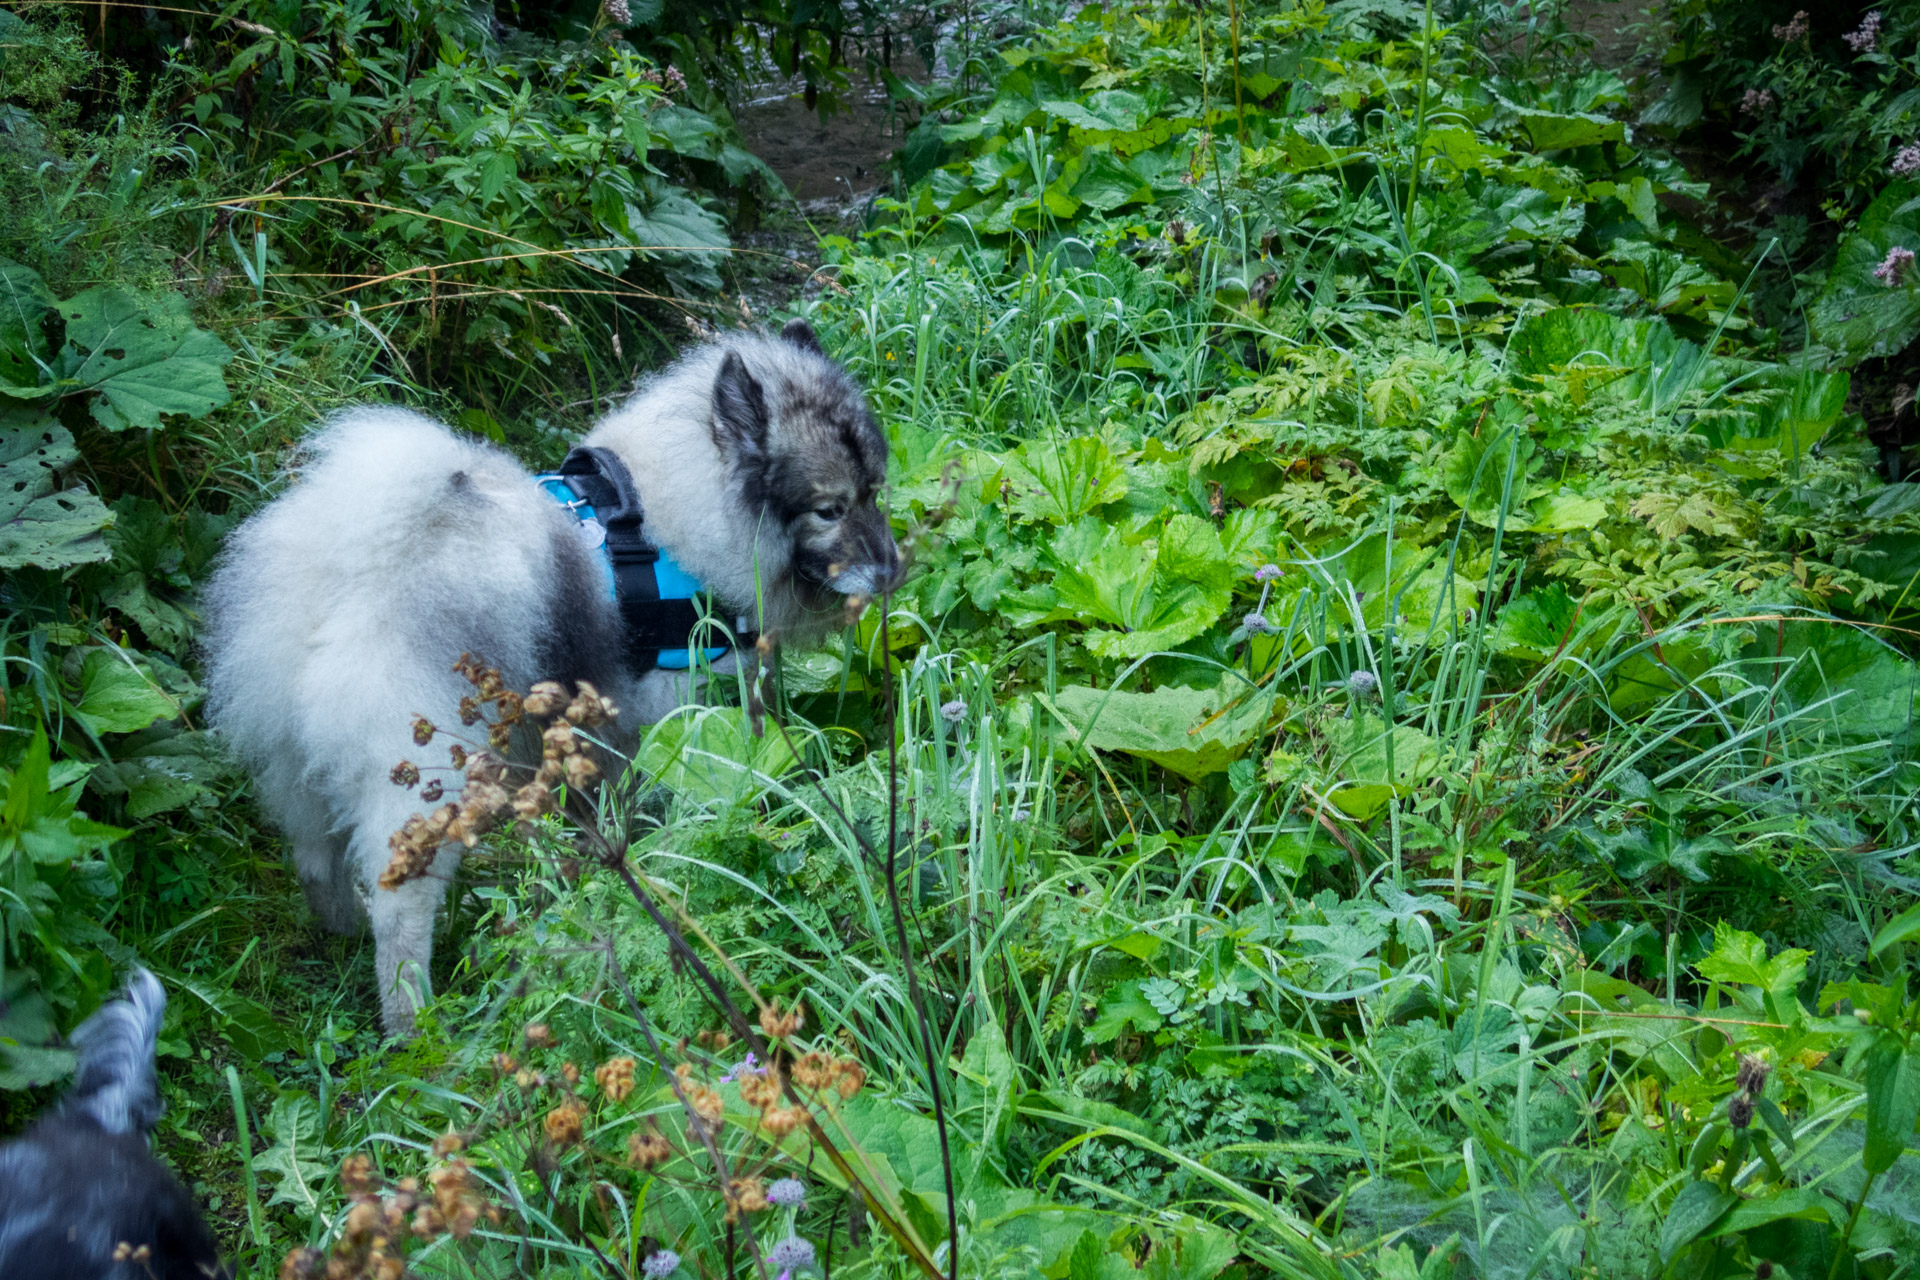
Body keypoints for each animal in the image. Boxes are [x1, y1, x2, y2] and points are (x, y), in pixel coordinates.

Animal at [206, 326, 894, 1036]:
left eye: (875, 492)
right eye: (829, 509)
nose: (894, 569)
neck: (672, 523)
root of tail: (343, 572)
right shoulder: (664, 718)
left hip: (297, 774)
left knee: (316, 861)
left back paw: (343, 935)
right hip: (424, 784)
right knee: (400, 913)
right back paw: (415, 1024)